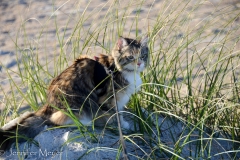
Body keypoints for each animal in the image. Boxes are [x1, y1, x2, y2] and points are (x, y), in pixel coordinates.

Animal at [0, 35, 149, 151]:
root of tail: (48, 105)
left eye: (143, 56)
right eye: (130, 57)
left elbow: (120, 112)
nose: (139, 63)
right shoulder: (107, 98)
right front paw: (122, 127)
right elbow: (116, 114)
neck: (117, 69)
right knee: (58, 121)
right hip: (76, 106)